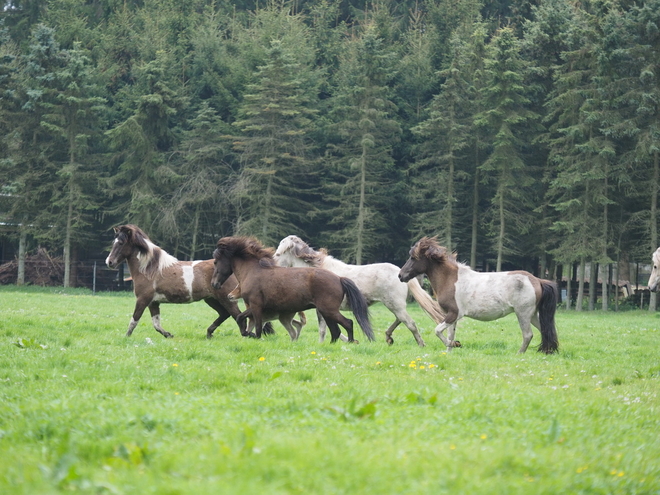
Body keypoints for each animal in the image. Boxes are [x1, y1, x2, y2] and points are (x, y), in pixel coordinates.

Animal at [104, 226, 264, 340]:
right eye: (113, 242)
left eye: (121, 243)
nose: (109, 262)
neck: (149, 269)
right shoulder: (153, 302)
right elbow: (156, 323)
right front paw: (169, 335)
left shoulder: (143, 299)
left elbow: (134, 320)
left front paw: (126, 337)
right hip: (211, 299)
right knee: (225, 314)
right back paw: (209, 333)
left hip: (226, 299)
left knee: (239, 317)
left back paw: (245, 335)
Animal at [213, 238, 376, 342]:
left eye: (215, 262)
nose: (214, 284)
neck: (253, 271)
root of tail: (339, 278)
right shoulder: (254, 306)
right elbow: (241, 318)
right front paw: (247, 333)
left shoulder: (256, 305)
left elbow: (258, 327)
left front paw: (254, 336)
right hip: (326, 312)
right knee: (335, 331)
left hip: (329, 310)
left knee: (348, 323)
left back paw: (351, 342)